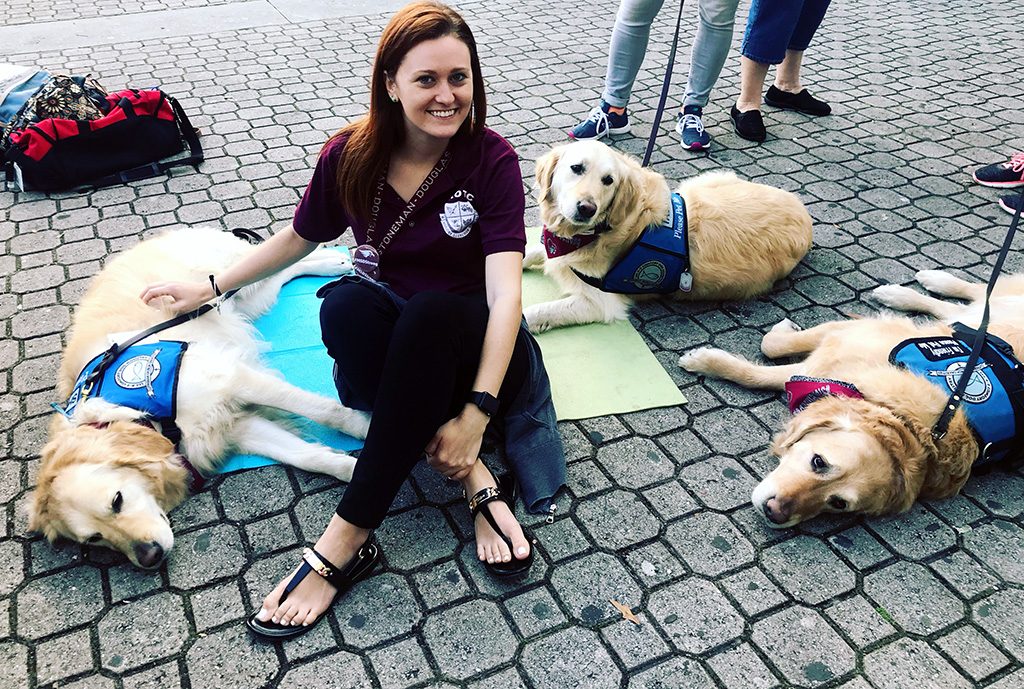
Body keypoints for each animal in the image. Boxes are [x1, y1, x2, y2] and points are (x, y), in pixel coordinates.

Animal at [27, 225, 372, 565]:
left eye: (117, 500)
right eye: (94, 539)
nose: (149, 558)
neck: (133, 411)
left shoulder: (233, 379)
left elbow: (329, 412)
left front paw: (368, 428)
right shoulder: (233, 426)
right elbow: (308, 456)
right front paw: (354, 472)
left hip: (230, 275)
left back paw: (333, 260)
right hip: (243, 300)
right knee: (279, 271)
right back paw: (331, 263)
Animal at [524, 139, 811, 329]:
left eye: (608, 180)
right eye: (577, 168)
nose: (587, 208)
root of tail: (804, 213)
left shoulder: (601, 303)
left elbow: (533, 312)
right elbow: (533, 250)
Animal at [679, 268, 1024, 528]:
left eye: (837, 503)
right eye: (818, 462)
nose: (774, 513)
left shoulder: (819, 367)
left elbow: (765, 365)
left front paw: (707, 361)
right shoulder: (842, 337)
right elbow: (772, 346)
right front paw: (706, 359)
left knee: (962, 307)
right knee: (974, 296)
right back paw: (920, 285)